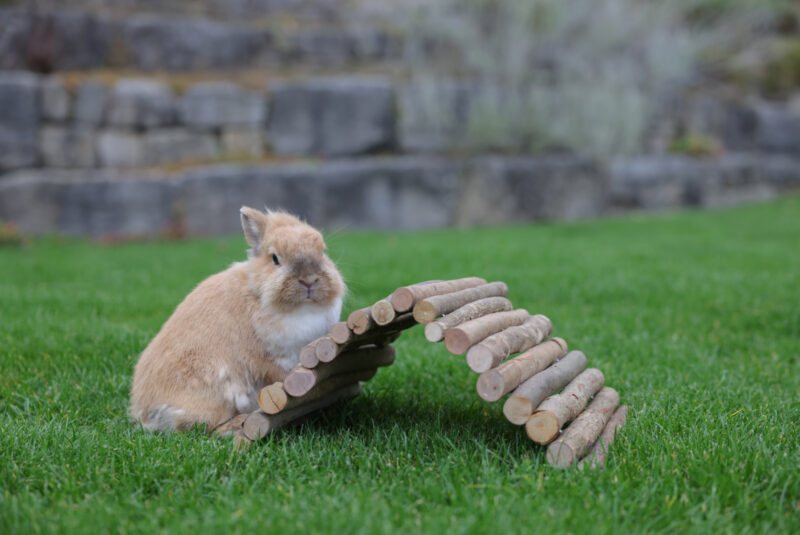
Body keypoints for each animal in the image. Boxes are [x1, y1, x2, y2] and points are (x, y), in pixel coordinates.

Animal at [128, 207, 344, 438]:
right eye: (275, 259)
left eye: (322, 251)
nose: (309, 280)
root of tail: (146, 414)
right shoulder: (264, 358)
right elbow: (279, 373)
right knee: (204, 427)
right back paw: (237, 424)